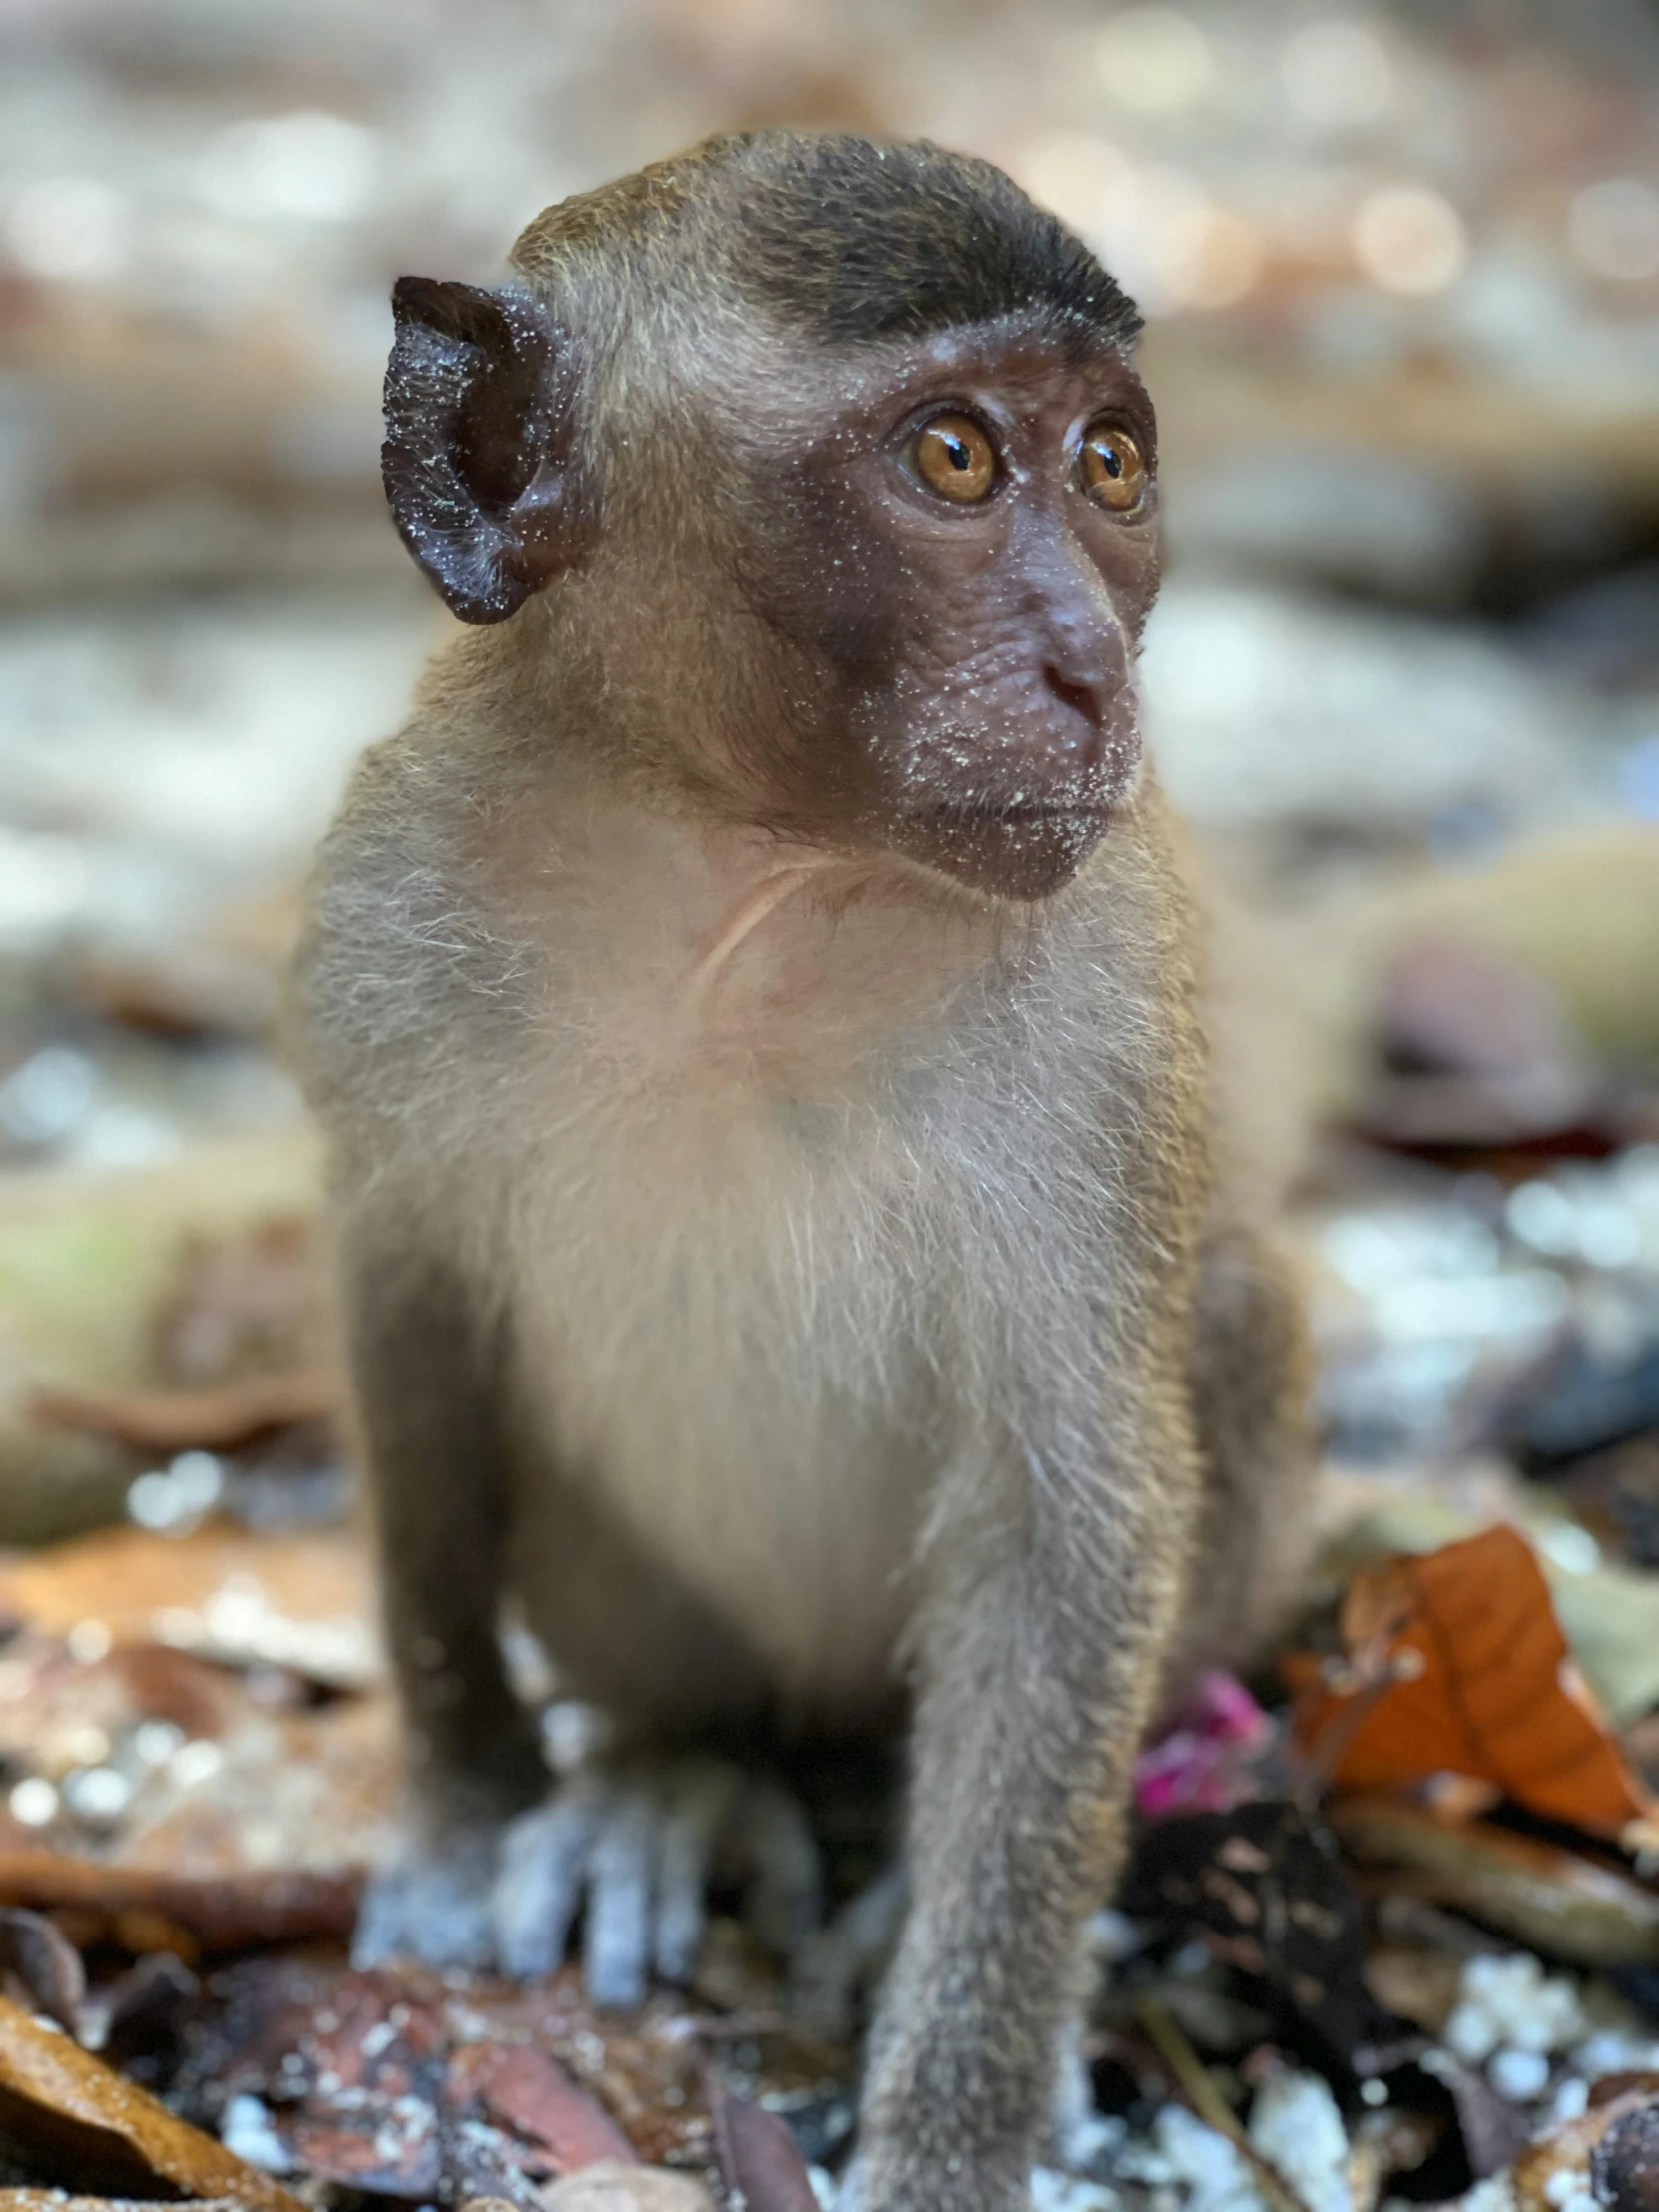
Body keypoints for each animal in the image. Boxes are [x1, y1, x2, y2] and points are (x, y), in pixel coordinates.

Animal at [295, 134, 1309, 2212]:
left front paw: (950, 2135)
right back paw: (674, 1771)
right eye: (954, 459)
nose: (1090, 670)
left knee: (1230, 1320)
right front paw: (467, 1801)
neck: (743, 883)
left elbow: (1067, 1520)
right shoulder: (386, 919)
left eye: (1108, 464)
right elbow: (410, 1335)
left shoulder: (1099, 1005)